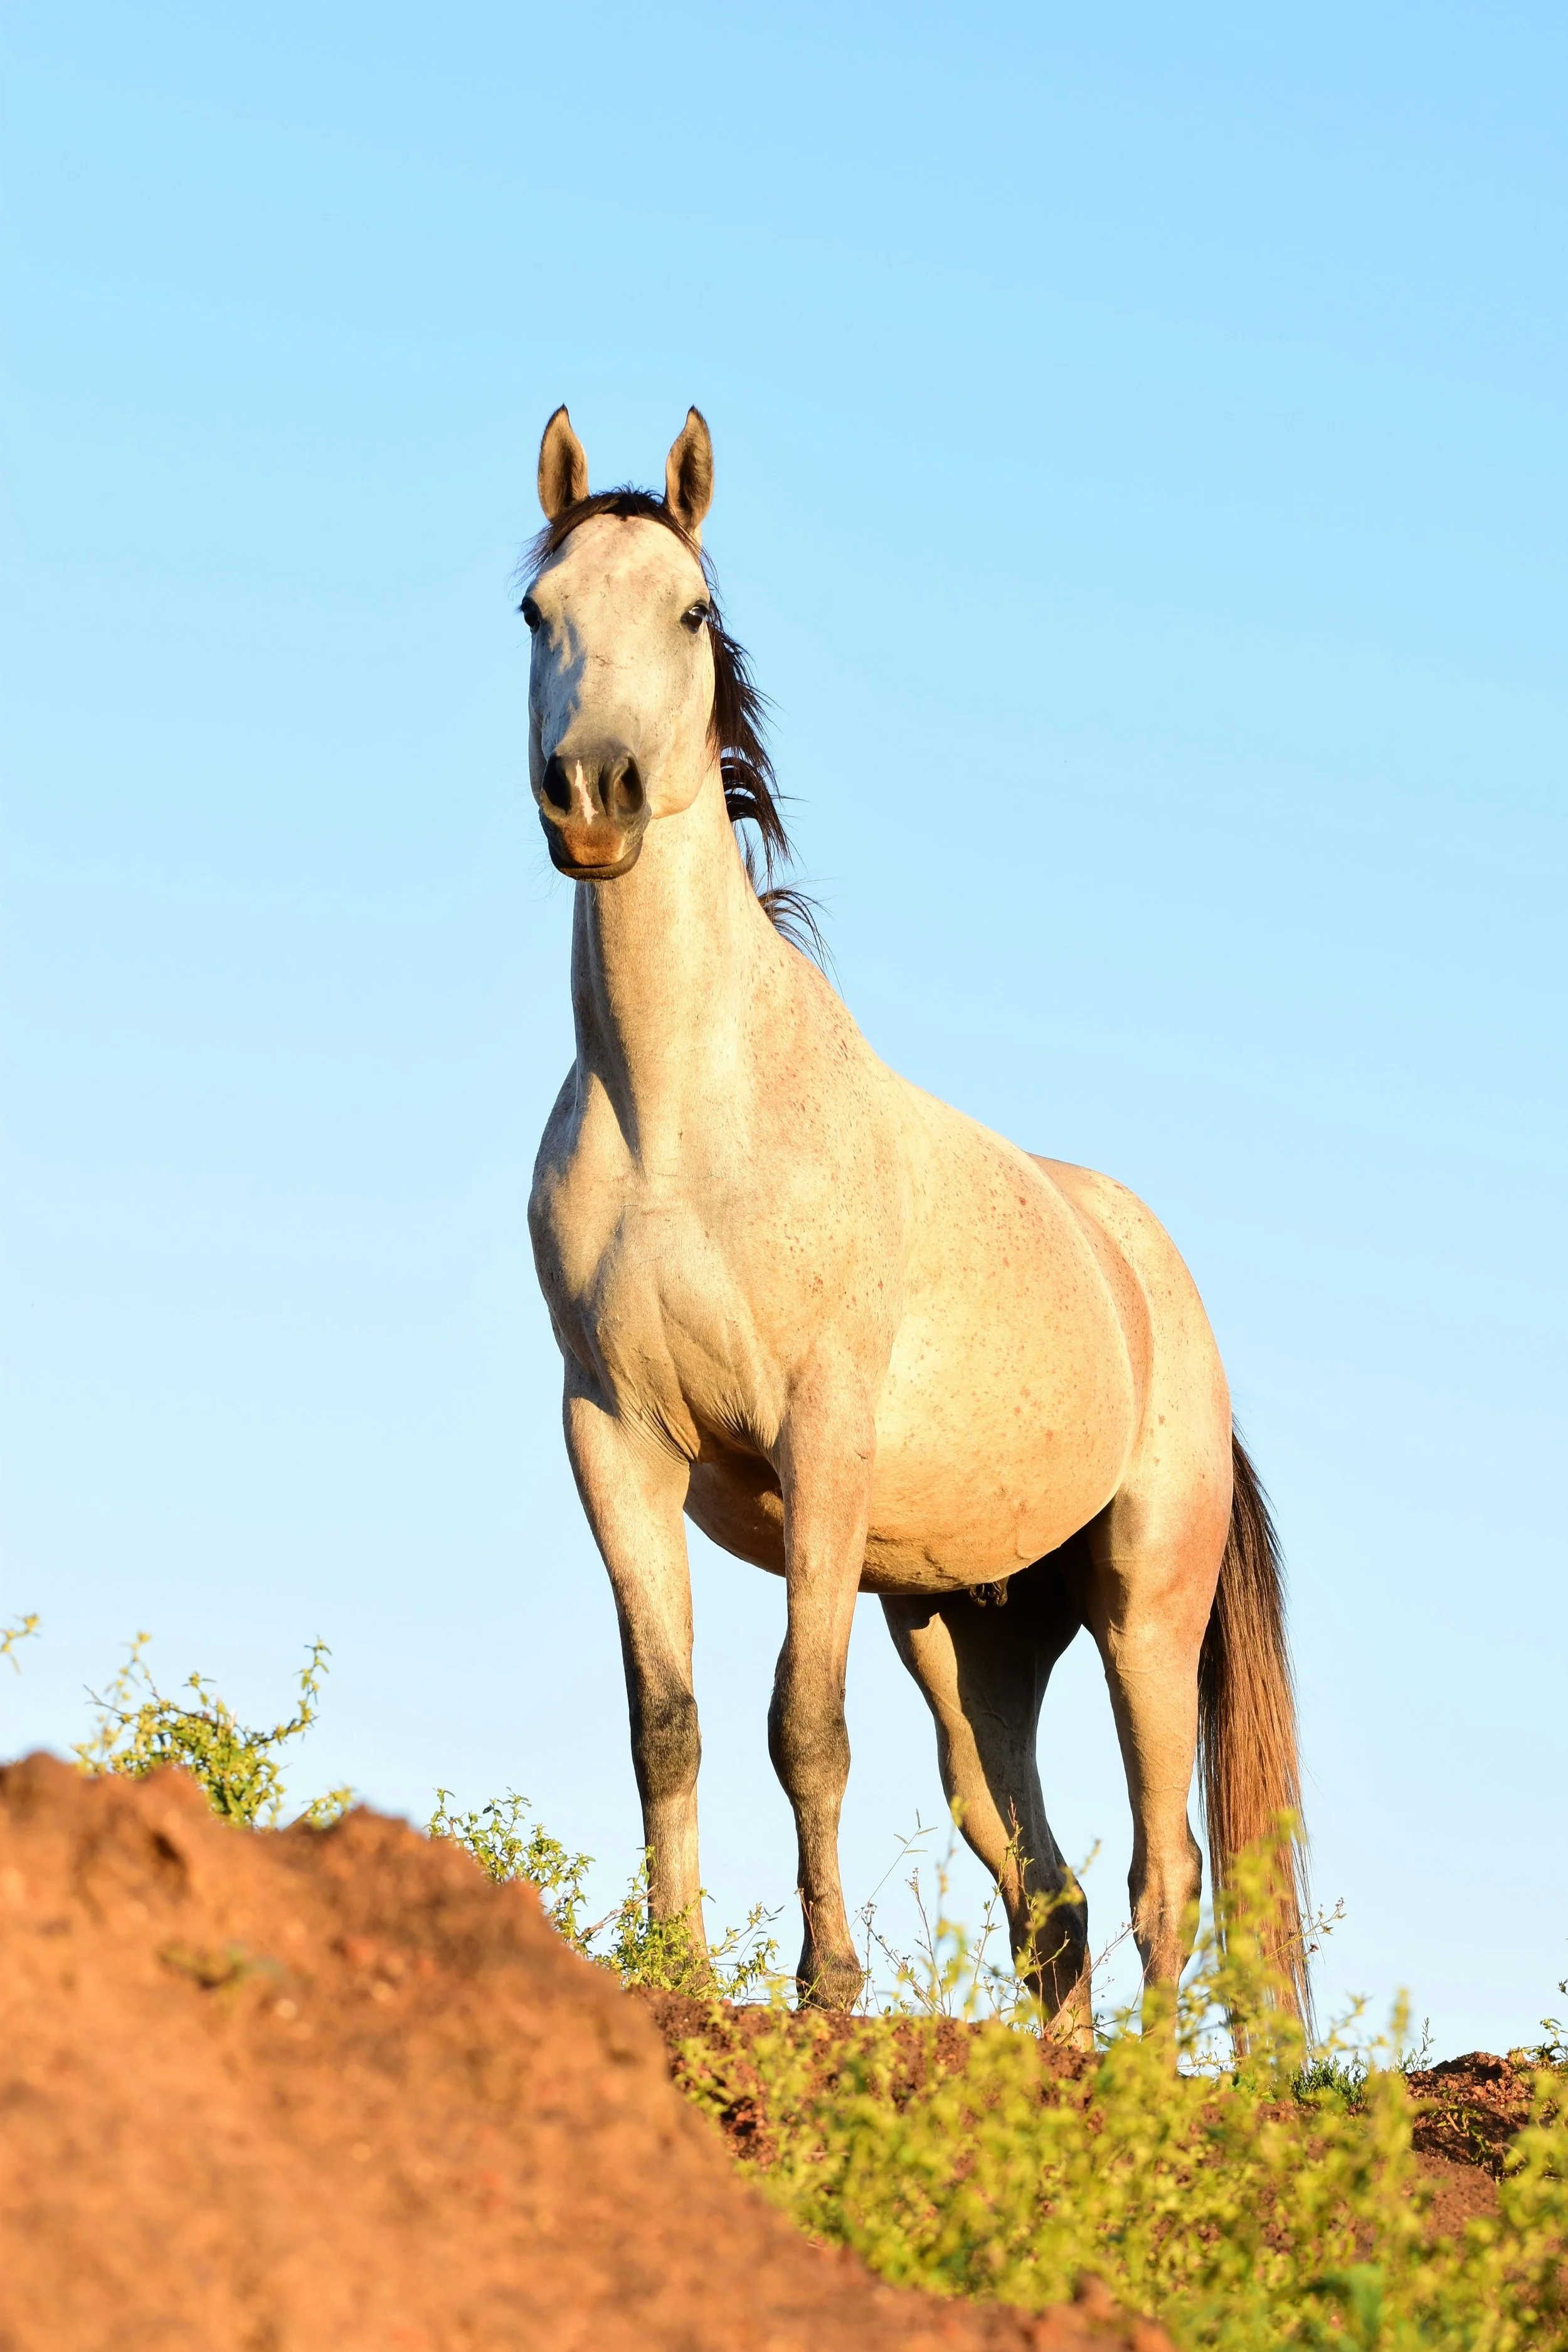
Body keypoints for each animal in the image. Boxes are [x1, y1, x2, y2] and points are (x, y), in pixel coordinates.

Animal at [523, 405, 1309, 2031]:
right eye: (535, 612)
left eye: (689, 613)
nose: (593, 793)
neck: (682, 1118)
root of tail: (1159, 1292)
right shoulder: (613, 1433)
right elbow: (667, 1720)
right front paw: (676, 1967)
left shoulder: (817, 1432)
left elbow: (801, 1723)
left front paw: (826, 1986)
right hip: (970, 1631)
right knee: (1043, 1887)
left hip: (1143, 1604)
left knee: (1163, 1869)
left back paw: (1140, 2083)